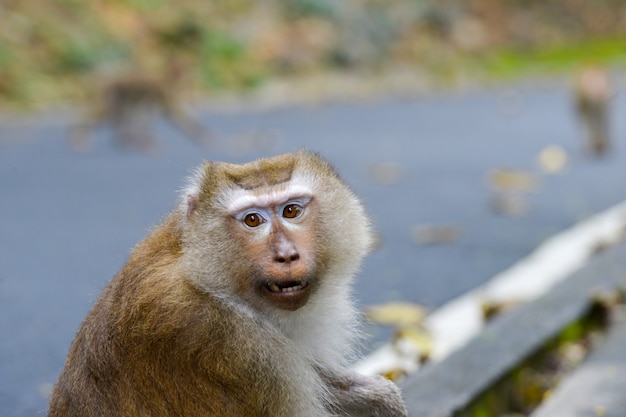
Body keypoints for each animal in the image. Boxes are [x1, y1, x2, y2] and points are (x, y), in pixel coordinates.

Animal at [50, 150, 410, 416]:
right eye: (252, 220)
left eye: (291, 211)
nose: (286, 255)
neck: (210, 283)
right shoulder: (235, 348)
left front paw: (379, 397)